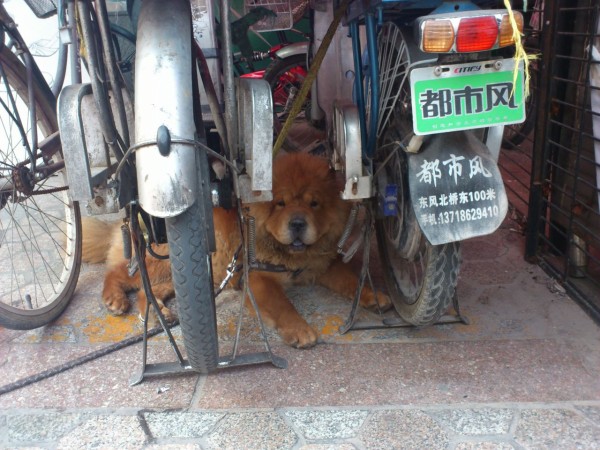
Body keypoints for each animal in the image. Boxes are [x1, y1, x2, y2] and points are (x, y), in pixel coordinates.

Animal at [85, 153, 394, 346]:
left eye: (314, 203)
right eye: (280, 203)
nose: (297, 223)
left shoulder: (320, 266)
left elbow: (350, 279)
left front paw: (373, 295)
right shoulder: (257, 277)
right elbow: (282, 304)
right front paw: (300, 330)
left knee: (147, 292)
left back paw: (161, 314)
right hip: (163, 261)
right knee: (122, 274)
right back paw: (115, 299)